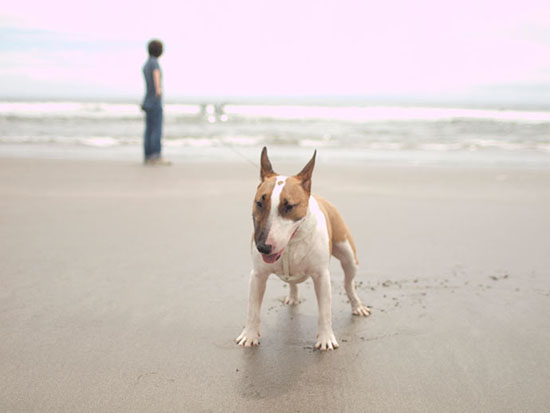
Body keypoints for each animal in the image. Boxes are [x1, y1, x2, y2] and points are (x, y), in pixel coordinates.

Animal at [236, 146, 370, 350]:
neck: (292, 243)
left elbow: (325, 312)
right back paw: (292, 297)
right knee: (292, 282)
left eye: (289, 206)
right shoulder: (258, 275)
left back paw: (357, 306)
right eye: (259, 203)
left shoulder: (321, 276)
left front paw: (326, 339)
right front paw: (249, 335)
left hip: (348, 255)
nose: (263, 247)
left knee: (349, 283)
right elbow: (253, 309)